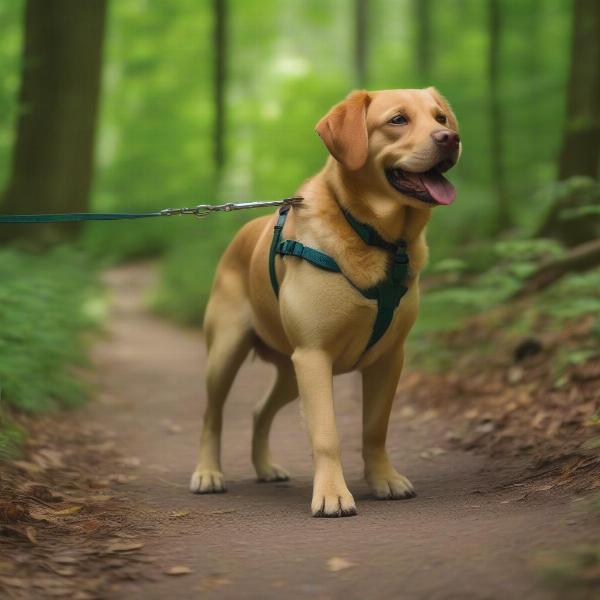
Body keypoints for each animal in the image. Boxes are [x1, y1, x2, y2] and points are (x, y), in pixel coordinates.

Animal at [190, 88, 462, 516]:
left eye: (441, 118)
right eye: (398, 120)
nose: (450, 139)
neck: (379, 239)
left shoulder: (389, 358)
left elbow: (375, 428)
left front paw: (384, 479)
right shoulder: (314, 356)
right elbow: (326, 433)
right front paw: (333, 494)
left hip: (290, 372)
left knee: (259, 411)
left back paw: (265, 467)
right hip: (226, 353)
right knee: (211, 416)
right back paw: (207, 473)